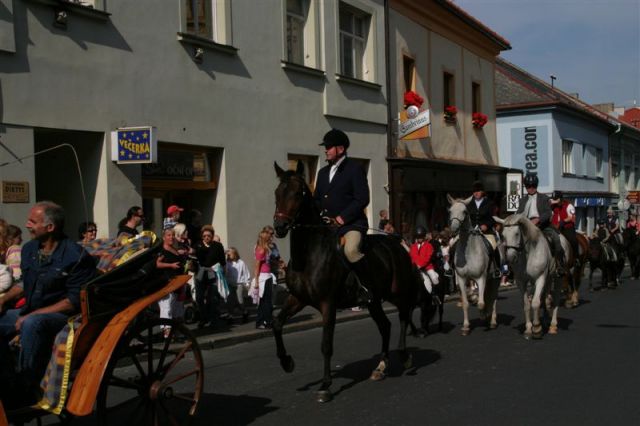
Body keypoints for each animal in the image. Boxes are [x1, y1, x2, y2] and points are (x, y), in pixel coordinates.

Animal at [272, 162, 422, 402]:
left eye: (297, 193)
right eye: (277, 193)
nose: (279, 226)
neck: (309, 255)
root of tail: (399, 243)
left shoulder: (328, 303)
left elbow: (326, 345)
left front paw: (325, 385)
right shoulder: (298, 299)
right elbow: (277, 323)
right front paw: (287, 362)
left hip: (398, 293)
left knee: (404, 316)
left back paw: (404, 355)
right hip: (374, 301)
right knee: (385, 326)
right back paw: (380, 367)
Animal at [444, 194, 500, 336]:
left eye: (465, 211)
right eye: (450, 211)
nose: (454, 229)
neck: (468, 252)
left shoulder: (481, 278)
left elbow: (481, 303)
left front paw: (484, 315)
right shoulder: (462, 279)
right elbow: (466, 303)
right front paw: (466, 327)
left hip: (494, 279)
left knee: (493, 298)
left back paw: (492, 321)